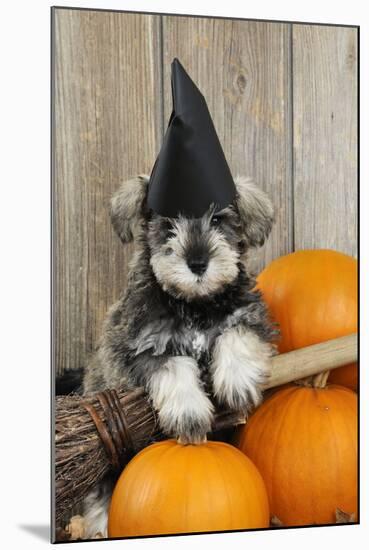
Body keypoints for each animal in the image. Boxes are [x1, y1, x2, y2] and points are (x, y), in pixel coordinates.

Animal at [78, 174, 276, 540]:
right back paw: (99, 525)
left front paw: (238, 382)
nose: (197, 263)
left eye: (218, 220)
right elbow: (173, 366)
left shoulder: (252, 317)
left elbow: (235, 334)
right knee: (102, 484)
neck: (194, 304)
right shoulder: (138, 348)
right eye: (168, 225)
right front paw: (190, 412)